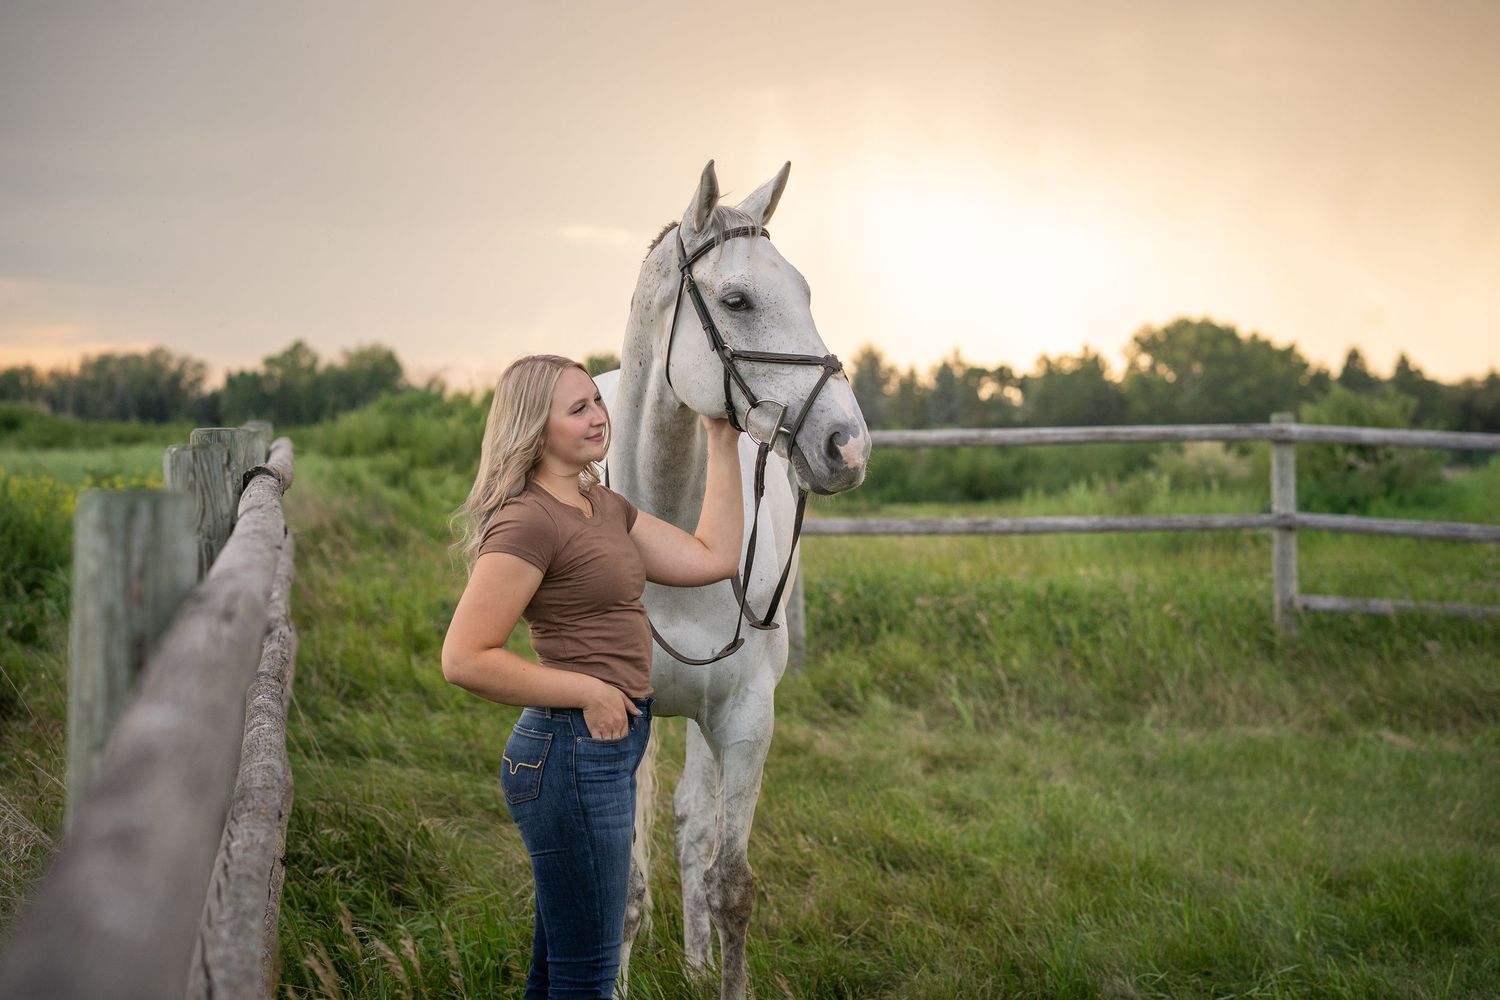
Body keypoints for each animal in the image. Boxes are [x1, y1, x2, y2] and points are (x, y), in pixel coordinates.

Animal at [592, 160, 870, 999]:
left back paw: (693, 960)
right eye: (739, 300)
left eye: (805, 290)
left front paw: (716, 962)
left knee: (693, 824)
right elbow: (621, 888)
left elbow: (731, 882)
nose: (848, 445)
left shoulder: (746, 719)